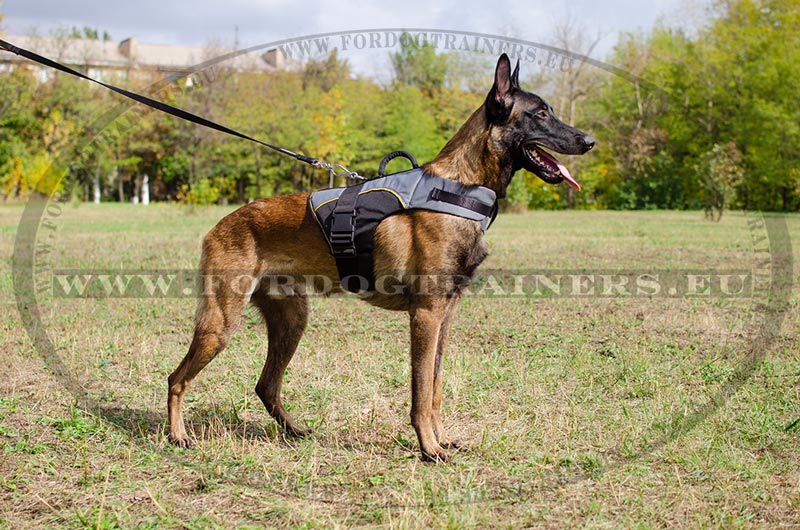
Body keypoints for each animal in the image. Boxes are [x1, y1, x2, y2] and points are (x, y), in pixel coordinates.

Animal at [167, 52, 592, 458]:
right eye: (540, 114)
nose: (589, 141)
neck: (459, 187)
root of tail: (220, 224)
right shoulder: (426, 316)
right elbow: (421, 390)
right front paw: (428, 448)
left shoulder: (446, 316)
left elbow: (436, 386)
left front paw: (441, 438)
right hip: (221, 323)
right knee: (176, 378)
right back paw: (178, 435)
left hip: (292, 321)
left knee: (265, 385)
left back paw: (294, 431)